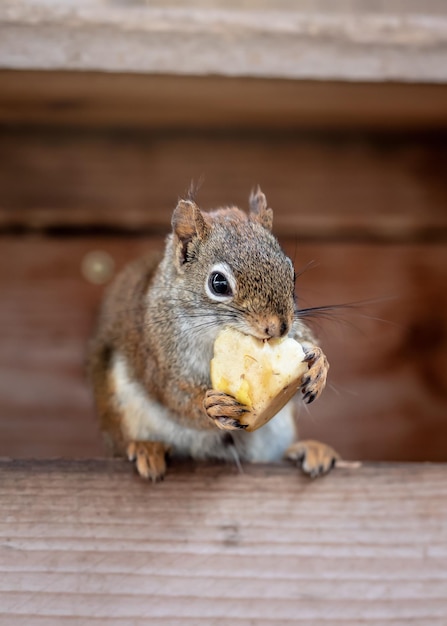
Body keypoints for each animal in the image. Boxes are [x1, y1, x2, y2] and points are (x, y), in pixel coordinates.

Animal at [86, 188, 340, 480]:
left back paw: (309, 450)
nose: (279, 328)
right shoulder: (158, 355)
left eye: (291, 272)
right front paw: (211, 406)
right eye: (218, 283)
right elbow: (175, 394)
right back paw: (146, 448)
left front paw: (319, 363)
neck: (214, 333)